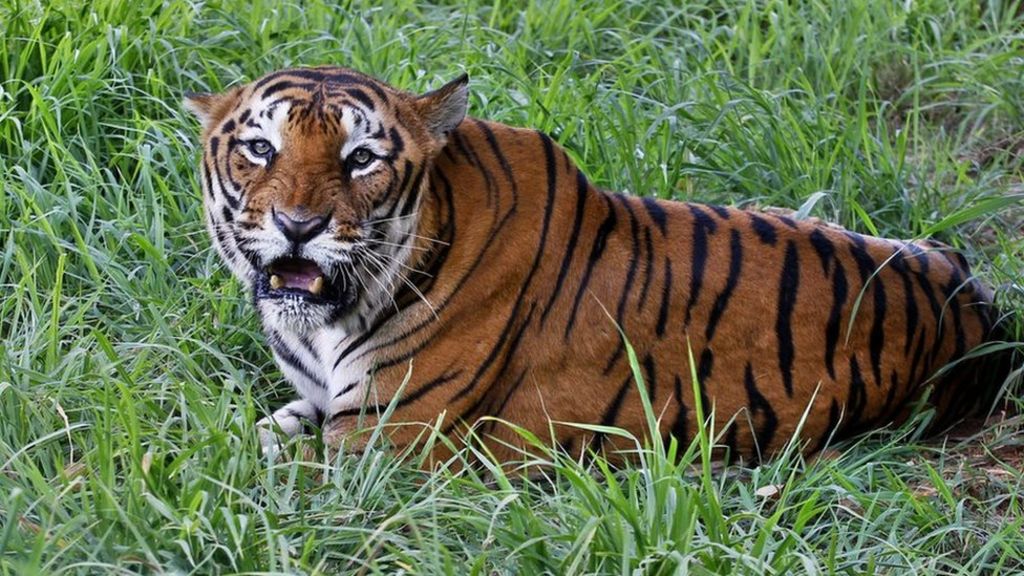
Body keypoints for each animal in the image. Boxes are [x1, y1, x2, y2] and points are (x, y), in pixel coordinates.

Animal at [184, 66, 1018, 465]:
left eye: (361, 159)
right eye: (260, 147)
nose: (299, 226)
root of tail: (983, 303)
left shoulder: (382, 445)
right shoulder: (321, 409)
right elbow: (241, 439)